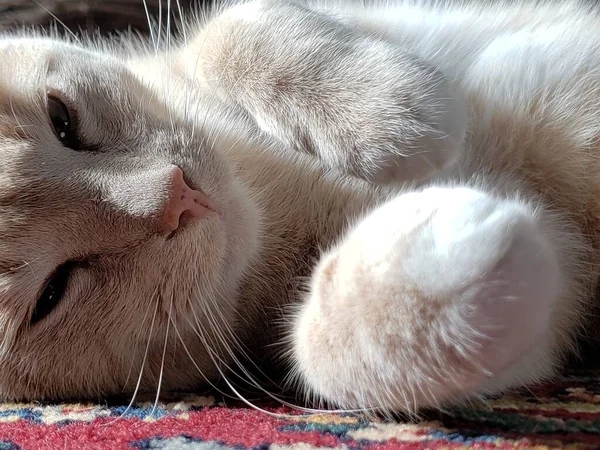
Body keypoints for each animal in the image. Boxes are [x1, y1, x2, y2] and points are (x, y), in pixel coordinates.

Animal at [1, 0, 600, 414]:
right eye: (51, 294)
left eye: (62, 120)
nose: (176, 196)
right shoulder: (562, 283)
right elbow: (317, 356)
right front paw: (444, 262)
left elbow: (232, 27)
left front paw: (392, 107)